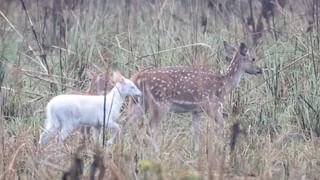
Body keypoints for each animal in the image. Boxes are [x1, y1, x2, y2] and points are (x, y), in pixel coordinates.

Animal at [125, 41, 262, 147]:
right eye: (253, 58)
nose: (259, 70)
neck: (224, 84)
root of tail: (137, 77)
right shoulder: (211, 105)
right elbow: (221, 124)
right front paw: (216, 147)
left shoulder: (195, 110)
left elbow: (196, 132)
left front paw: (196, 152)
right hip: (160, 103)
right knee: (149, 131)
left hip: (138, 103)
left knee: (125, 123)